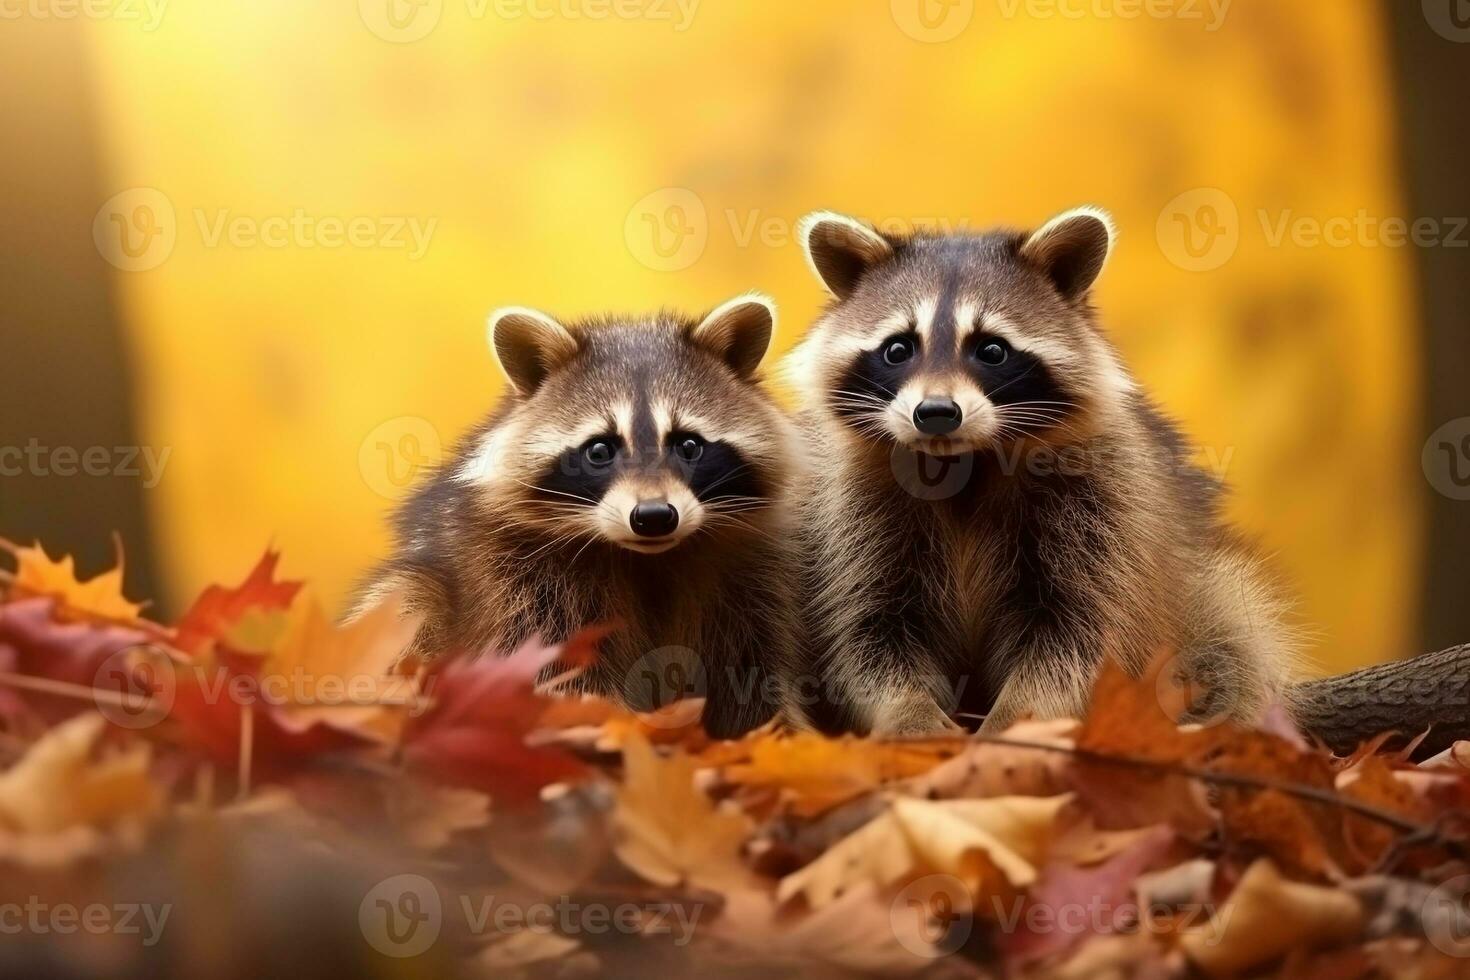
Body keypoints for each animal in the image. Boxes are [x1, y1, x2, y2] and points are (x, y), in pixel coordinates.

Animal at [349, 296, 799, 734]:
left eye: (688, 445)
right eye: (599, 449)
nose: (654, 516)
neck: (648, 559)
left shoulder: (748, 576)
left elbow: (749, 672)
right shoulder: (518, 578)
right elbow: (556, 669)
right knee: (408, 598)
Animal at [787, 211, 1293, 740]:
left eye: (991, 350)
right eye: (898, 349)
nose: (936, 413)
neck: (966, 463)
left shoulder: (1107, 501)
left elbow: (1080, 635)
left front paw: (1015, 722)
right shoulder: (848, 509)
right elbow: (867, 632)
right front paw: (908, 712)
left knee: (1234, 636)